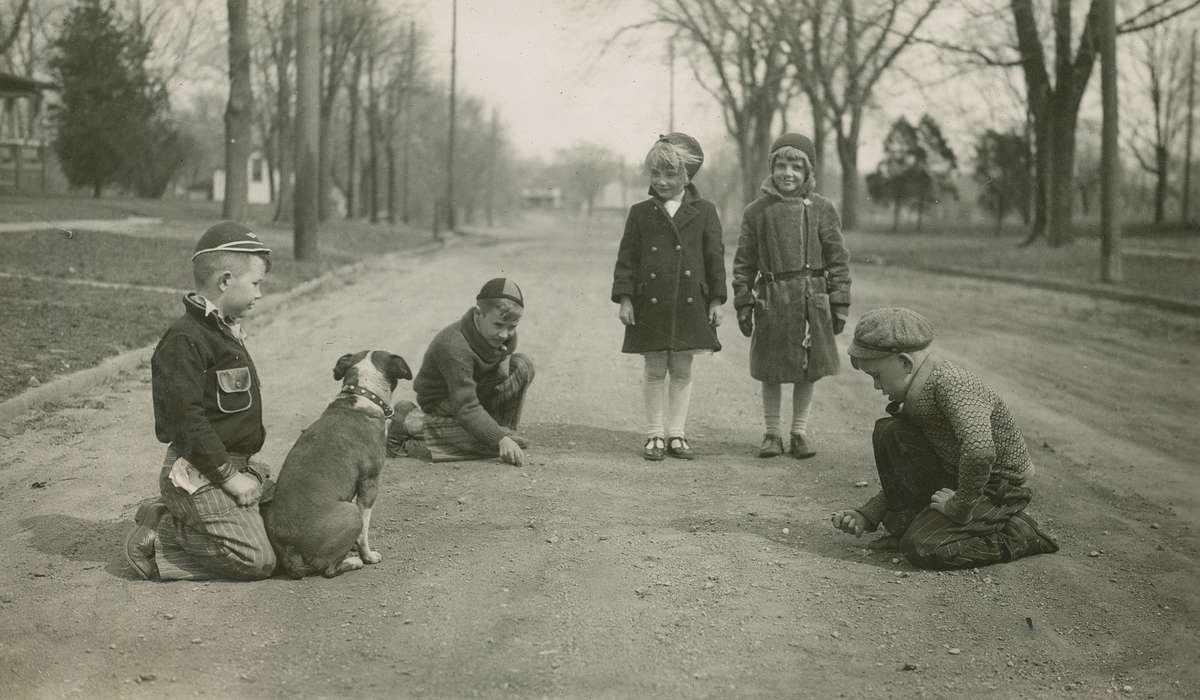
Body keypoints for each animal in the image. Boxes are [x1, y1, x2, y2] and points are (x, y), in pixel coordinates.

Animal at [262, 350, 412, 581]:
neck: (362, 394)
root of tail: (291, 550)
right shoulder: (369, 485)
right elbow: (365, 532)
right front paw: (368, 556)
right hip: (351, 513)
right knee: (329, 570)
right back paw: (353, 562)